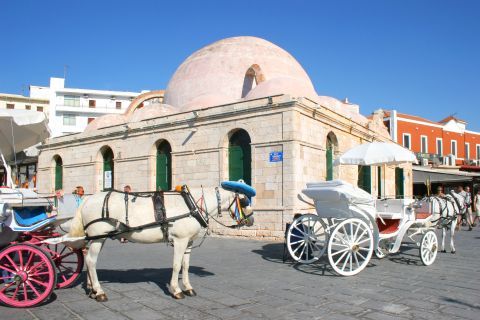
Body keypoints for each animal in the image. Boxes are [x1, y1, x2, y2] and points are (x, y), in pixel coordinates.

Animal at [67, 186, 253, 302]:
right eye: (244, 201)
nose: (251, 220)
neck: (192, 205)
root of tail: (87, 199)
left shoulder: (189, 241)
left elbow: (185, 266)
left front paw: (188, 287)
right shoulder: (180, 240)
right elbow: (177, 265)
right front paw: (176, 290)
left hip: (98, 238)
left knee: (88, 259)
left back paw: (91, 289)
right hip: (98, 238)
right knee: (91, 261)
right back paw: (99, 292)